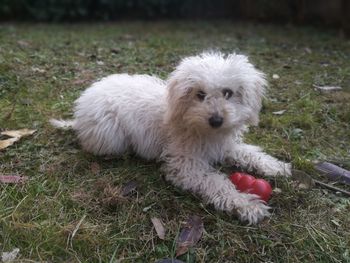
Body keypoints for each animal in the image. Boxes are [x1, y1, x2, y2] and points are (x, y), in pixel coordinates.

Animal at [50, 53, 292, 225]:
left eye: (228, 93)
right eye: (200, 95)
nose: (216, 119)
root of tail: (80, 110)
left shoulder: (224, 146)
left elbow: (248, 153)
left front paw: (276, 166)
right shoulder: (184, 165)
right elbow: (216, 182)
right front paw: (246, 205)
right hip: (110, 135)